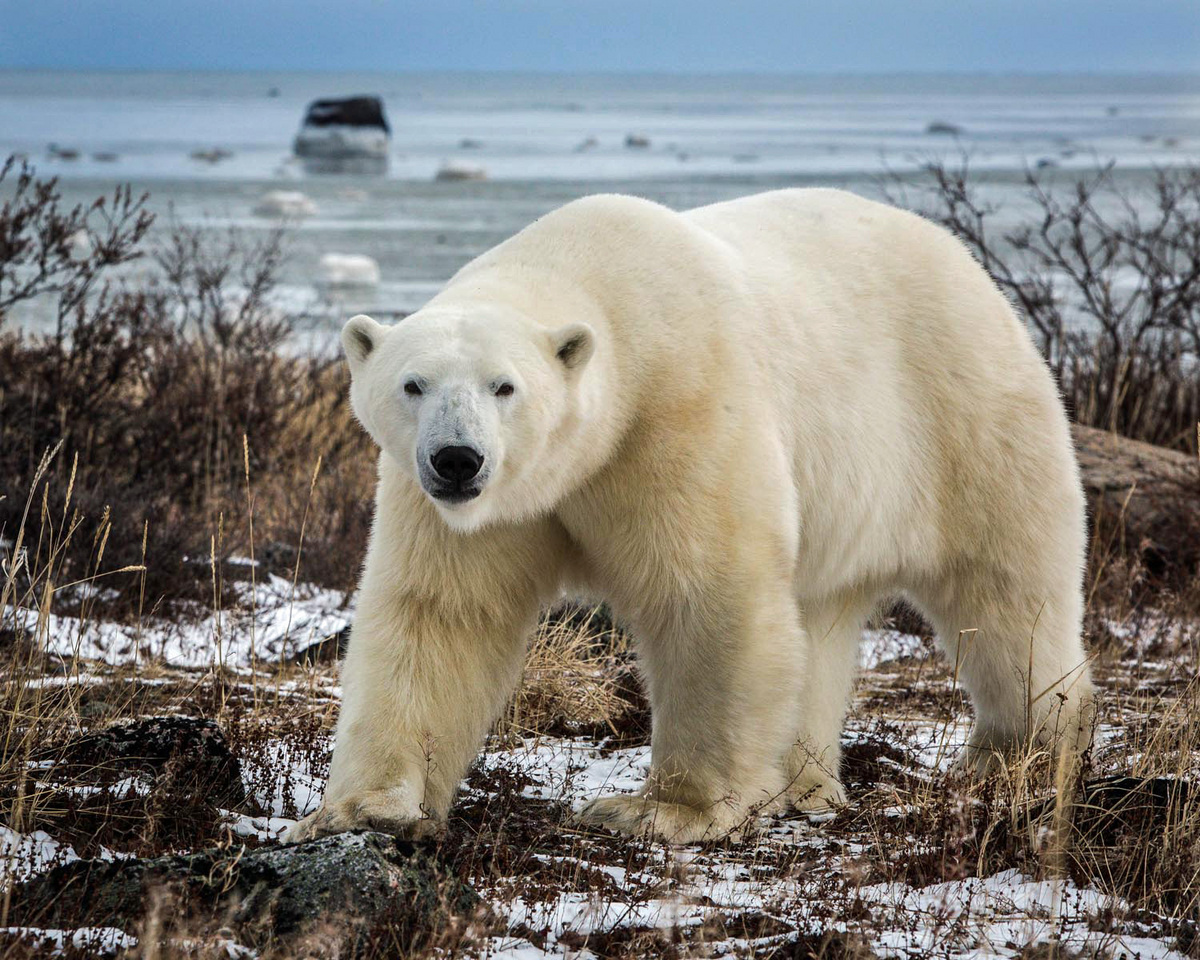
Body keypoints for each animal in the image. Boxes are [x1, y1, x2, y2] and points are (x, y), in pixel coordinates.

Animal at [286, 188, 1094, 845]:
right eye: (413, 384)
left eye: (504, 386)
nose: (457, 460)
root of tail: (970, 266)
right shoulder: (468, 506)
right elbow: (439, 614)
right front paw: (364, 808)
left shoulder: (679, 409)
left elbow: (709, 593)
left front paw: (667, 810)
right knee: (821, 619)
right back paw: (802, 786)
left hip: (964, 421)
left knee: (1007, 597)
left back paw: (1018, 755)